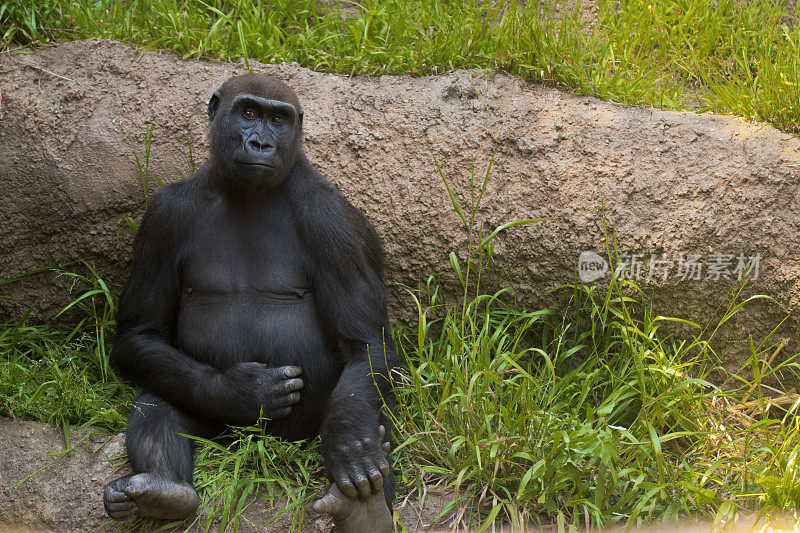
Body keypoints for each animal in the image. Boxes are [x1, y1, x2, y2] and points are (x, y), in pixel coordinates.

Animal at [102, 72, 396, 528]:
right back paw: (163, 492)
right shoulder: (163, 214)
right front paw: (242, 391)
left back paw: (366, 507)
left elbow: (364, 343)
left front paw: (349, 441)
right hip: (224, 434)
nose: (260, 144)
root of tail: (258, 450)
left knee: (366, 403)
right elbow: (140, 333)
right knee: (160, 398)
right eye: (249, 112)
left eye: (278, 120)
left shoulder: (332, 219)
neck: (245, 192)